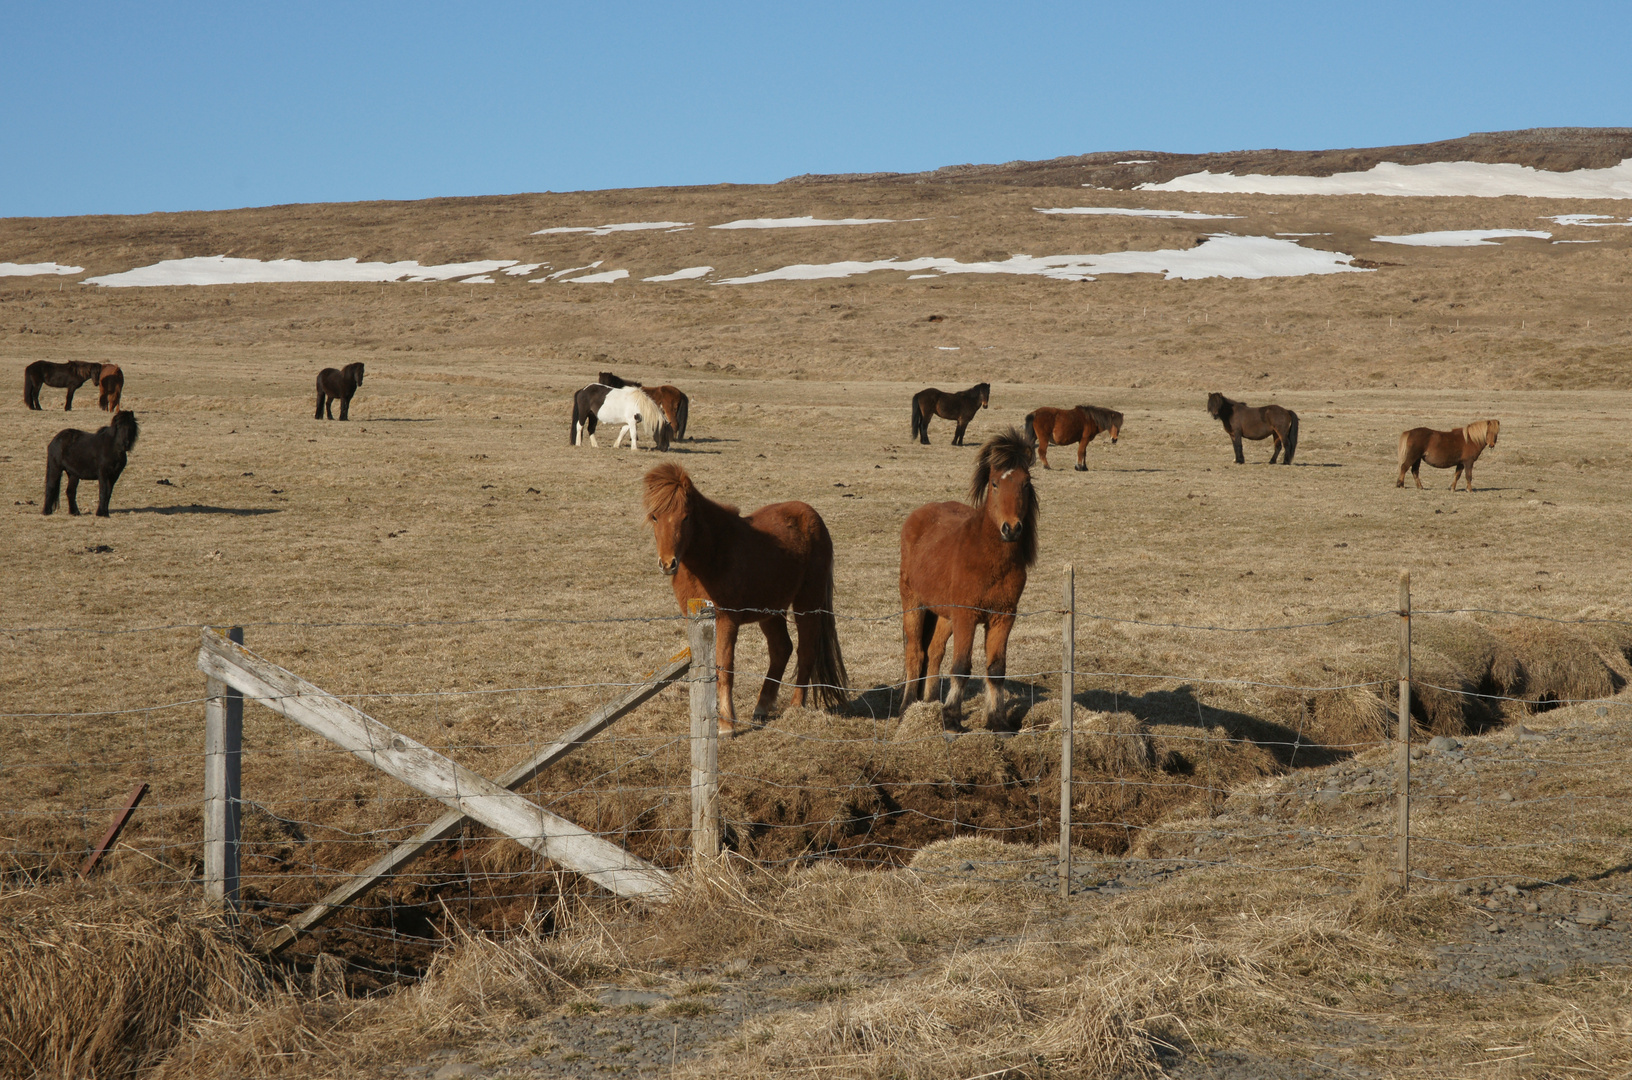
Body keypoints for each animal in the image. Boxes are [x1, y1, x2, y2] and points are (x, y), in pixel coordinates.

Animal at [646, 466, 855, 737]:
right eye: (654, 517)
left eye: (686, 517)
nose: (668, 563)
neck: (711, 554)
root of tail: (812, 516)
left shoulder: (727, 619)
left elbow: (725, 667)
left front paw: (726, 724)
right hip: (771, 611)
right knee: (781, 649)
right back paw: (762, 707)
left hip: (807, 604)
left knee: (806, 649)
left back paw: (795, 706)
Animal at [900, 427, 1037, 730]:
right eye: (995, 483)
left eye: (1025, 483)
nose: (1012, 528)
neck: (988, 558)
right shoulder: (966, 615)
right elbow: (961, 667)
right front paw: (952, 719)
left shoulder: (1003, 617)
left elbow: (996, 669)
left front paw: (997, 721)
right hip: (913, 603)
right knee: (915, 653)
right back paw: (906, 707)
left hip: (944, 614)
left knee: (935, 651)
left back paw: (929, 702)